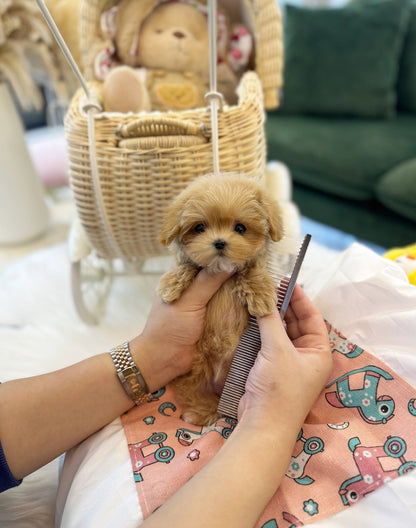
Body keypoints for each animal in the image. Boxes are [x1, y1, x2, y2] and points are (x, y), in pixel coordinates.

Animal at [158, 173, 284, 424]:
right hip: (195, 372)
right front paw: (171, 284)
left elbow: (252, 272)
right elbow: (187, 266)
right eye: (199, 227)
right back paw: (202, 412)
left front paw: (261, 296)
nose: (219, 242)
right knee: (197, 393)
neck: (222, 274)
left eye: (240, 228)